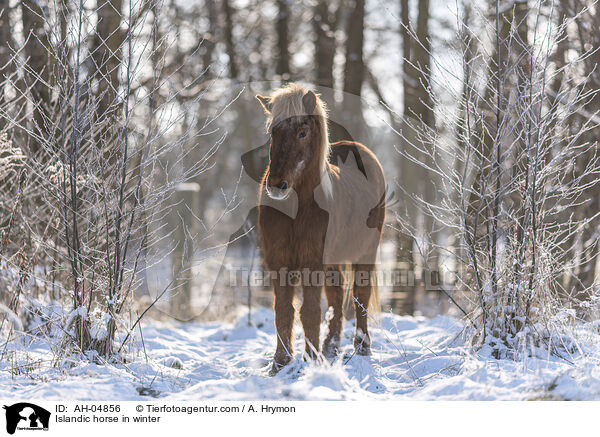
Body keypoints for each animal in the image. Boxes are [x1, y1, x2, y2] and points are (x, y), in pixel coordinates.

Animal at [255, 83, 386, 372]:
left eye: (302, 132)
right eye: (272, 132)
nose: (276, 185)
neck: (297, 211)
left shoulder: (311, 261)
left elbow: (310, 311)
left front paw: (311, 359)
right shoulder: (278, 261)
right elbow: (284, 310)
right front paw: (280, 362)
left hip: (366, 252)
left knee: (360, 294)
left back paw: (362, 346)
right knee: (336, 296)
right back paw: (331, 346)